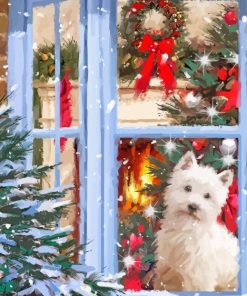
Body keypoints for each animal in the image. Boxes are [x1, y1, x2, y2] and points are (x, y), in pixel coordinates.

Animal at [154, 151, 239, 290]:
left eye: (207, 196)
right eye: (188, 188)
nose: (193, 206)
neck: (185, 230)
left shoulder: (199, 277)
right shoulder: (167, 270)